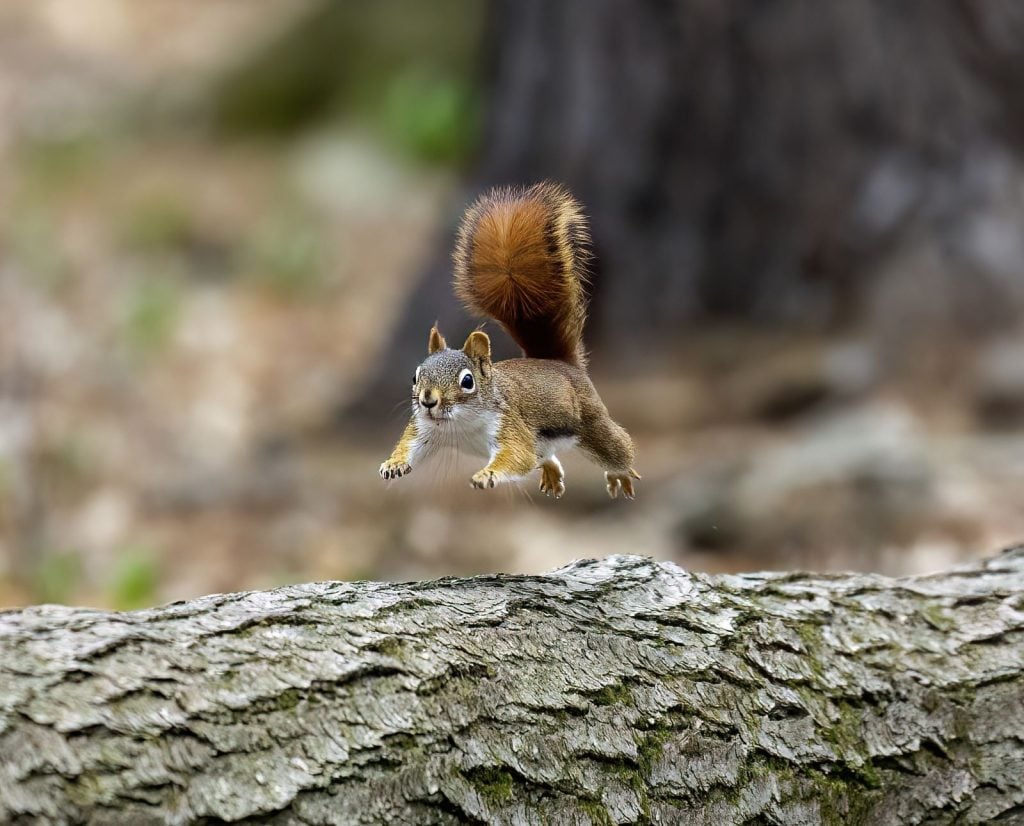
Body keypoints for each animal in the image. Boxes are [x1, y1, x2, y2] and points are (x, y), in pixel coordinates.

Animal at [379, 182, 640, 499]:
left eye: (467, 381)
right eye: (416, 377)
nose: (428, 401)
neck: (459, 425)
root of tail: (560, 364)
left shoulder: (510, 426)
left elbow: (517, 456)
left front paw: (487, 474)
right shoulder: (423, 429)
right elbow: (409, 445)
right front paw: (394, 463)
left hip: (592, 422)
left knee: (617, 448)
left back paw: (621, 474)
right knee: (545, 456)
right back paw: (552, 473)